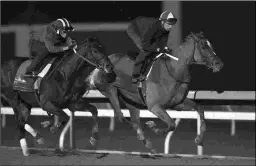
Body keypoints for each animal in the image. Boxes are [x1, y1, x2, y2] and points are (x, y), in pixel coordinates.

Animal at [87, 31, 223, 153]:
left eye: (211, 46)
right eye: (204, 46)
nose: (219, 64)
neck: (172, 72)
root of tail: (99, 65)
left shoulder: (178, 104)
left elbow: (200, 109)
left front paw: (199, 139)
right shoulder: (155, 106)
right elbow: (171, 124)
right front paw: (154, 127)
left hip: (131, 100)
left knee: (134, 121)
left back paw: (148, 144)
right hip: (110, 90)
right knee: (121, 117)